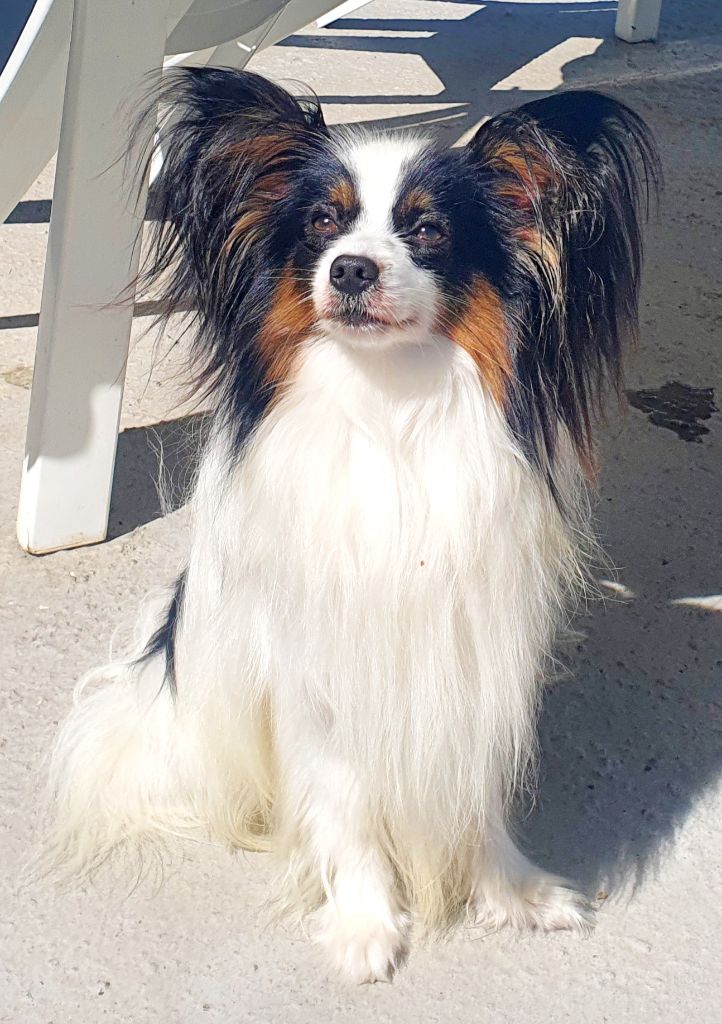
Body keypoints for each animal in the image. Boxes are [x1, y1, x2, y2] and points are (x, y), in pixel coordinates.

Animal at [44, 68, 658, 982]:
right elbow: (345, 803)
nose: (353, 269)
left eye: (430, 230)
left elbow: (473, 790)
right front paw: (367, 926)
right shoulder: (321, 673)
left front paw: (510, 892)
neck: (390, 407)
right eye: (322, 224)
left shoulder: (470, 651)